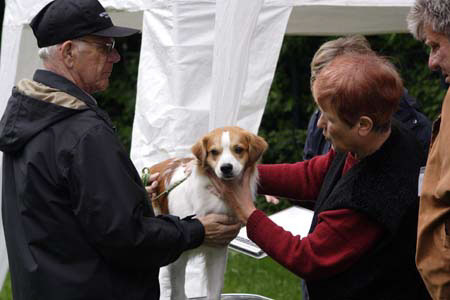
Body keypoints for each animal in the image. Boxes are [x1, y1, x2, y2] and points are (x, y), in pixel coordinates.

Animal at [148, 126, 268, 300]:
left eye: (238, 149)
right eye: (214, 152)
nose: (226, 167)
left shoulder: (218, 252)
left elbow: (215, 290)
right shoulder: (179, 258)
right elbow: (178, 292)